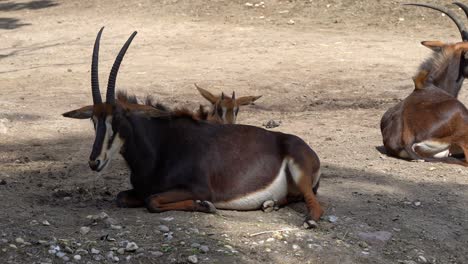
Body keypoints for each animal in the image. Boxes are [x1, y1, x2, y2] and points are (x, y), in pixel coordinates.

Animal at [63, 27, 326, 228]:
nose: (94, 161)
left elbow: (153, 201)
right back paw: (270, 204)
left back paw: (309, 219)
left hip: (300, 171)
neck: (160, 149)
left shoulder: (198, 188)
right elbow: (125, 197)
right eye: (93, 120)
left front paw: (205, 206)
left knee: (314, 202)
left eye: (117, 118)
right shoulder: (137, 190)